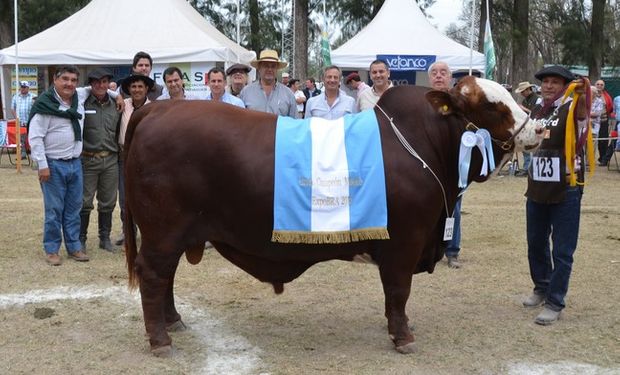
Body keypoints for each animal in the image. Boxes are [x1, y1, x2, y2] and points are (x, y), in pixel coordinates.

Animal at [122, 75, 544, 356]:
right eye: (491, 105)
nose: (539, 126)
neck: (420, 144)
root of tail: (159, 106)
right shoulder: (404, 244)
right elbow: (399, 291)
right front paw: (403, 336)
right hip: (163, 232)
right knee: (155, 275)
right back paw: (160, 340)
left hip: (174, 235)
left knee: (166, 276)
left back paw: (174, 321)